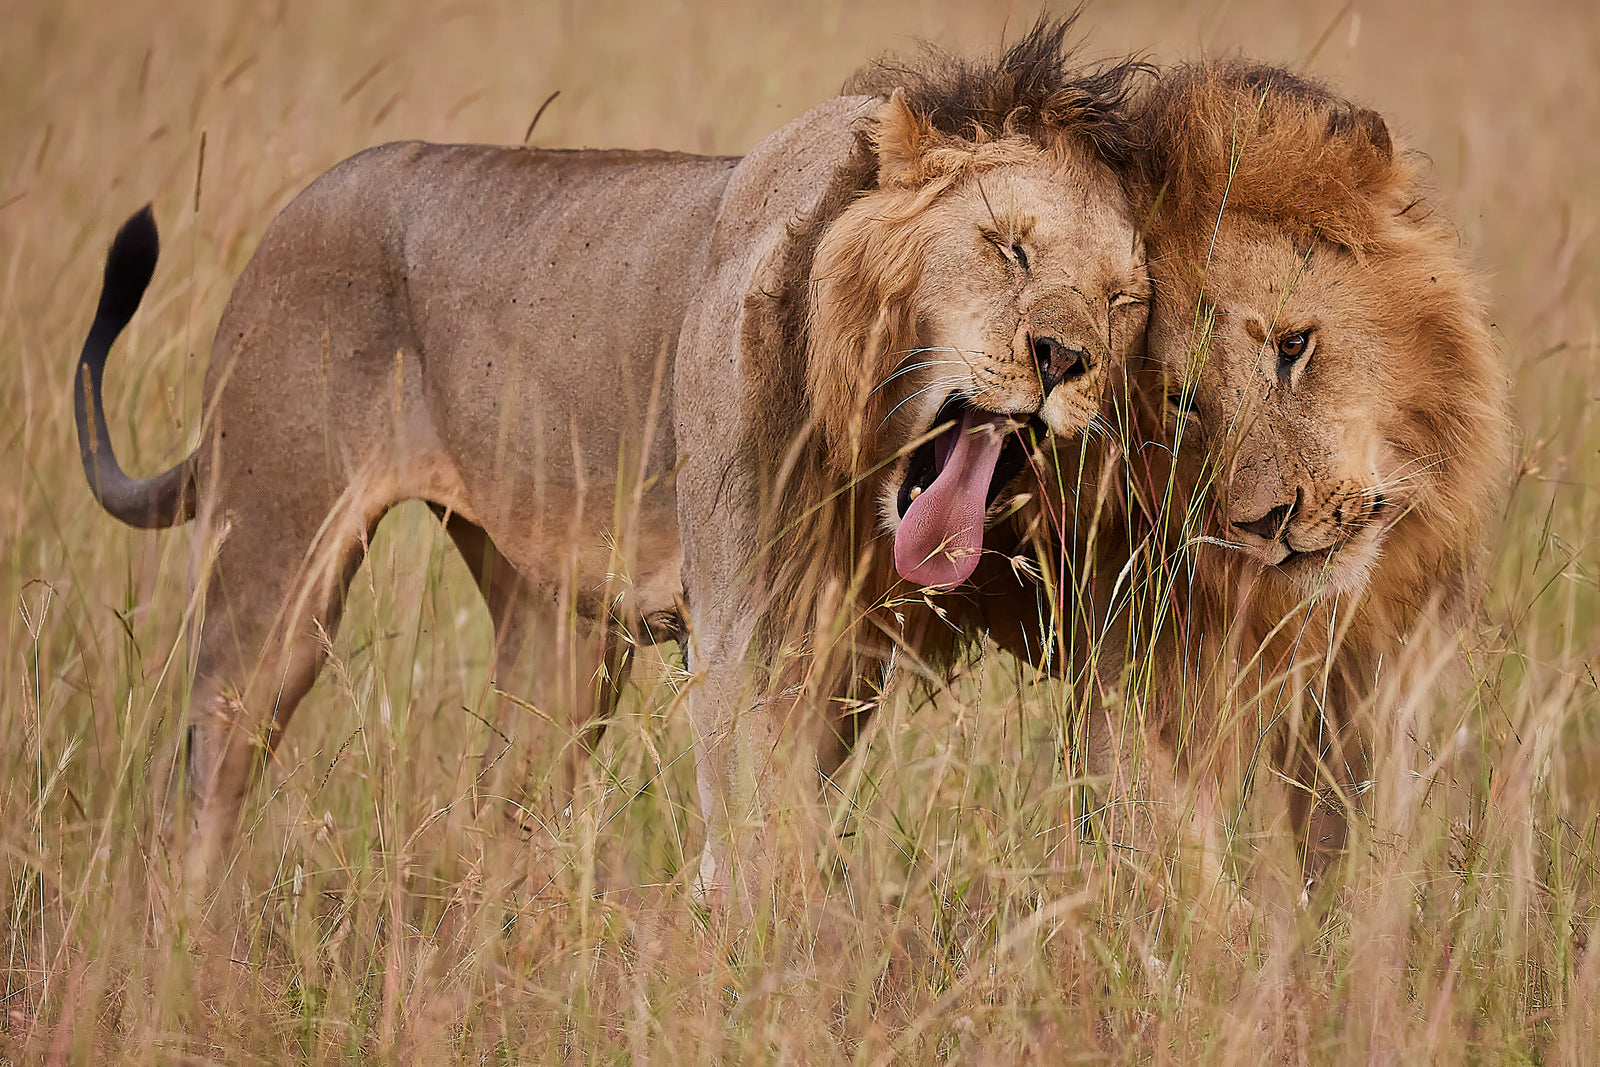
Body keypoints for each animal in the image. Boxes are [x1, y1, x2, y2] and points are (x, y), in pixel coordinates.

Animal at [75, 19, 1150, 907]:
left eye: (1123, 300)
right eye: (1008, 248)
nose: (1066, 359)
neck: (861, 464)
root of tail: (286, 220)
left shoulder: (845, 651)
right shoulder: (744, 629)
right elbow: (756, 823)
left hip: (555, 642)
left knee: (493, 813)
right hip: (273, 575)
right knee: (202, 782)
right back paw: (183, 952)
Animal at [1040, 61, 1513, 888]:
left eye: (1294, 345)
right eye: (1184, 402)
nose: (1267, 522)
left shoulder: (1375, 680)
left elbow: (1369, 851)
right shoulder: (1124, 662)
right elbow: (1165, 853)